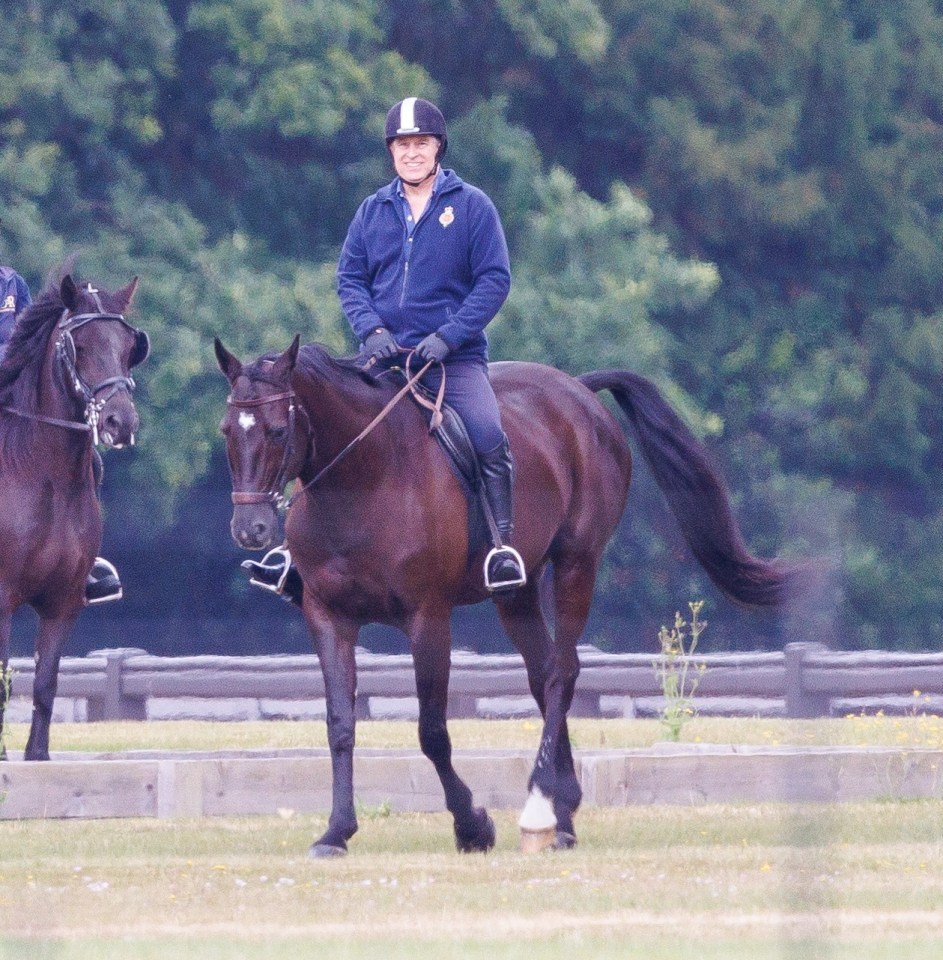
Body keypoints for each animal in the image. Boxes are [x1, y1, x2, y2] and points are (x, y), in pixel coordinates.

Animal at [0, 274, 148, 760]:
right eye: (79, 346)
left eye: (129, 346)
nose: (121, 422)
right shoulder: (2, 598)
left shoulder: (62, 603)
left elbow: (45, 686)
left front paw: (37, 755)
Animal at [216, 338, 804, 856]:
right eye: (227, 430)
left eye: (276, 429)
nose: (250, 530)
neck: (362, 478)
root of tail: (578, 391)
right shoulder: (327, 617)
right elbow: (340, 726)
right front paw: (336, 832)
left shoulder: (428, 618)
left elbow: (432, 731)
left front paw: (472, 826)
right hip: (515, 593)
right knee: (542, 674)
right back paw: (563, 810)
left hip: (577, 564)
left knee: (562, 672)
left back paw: (542, 809)